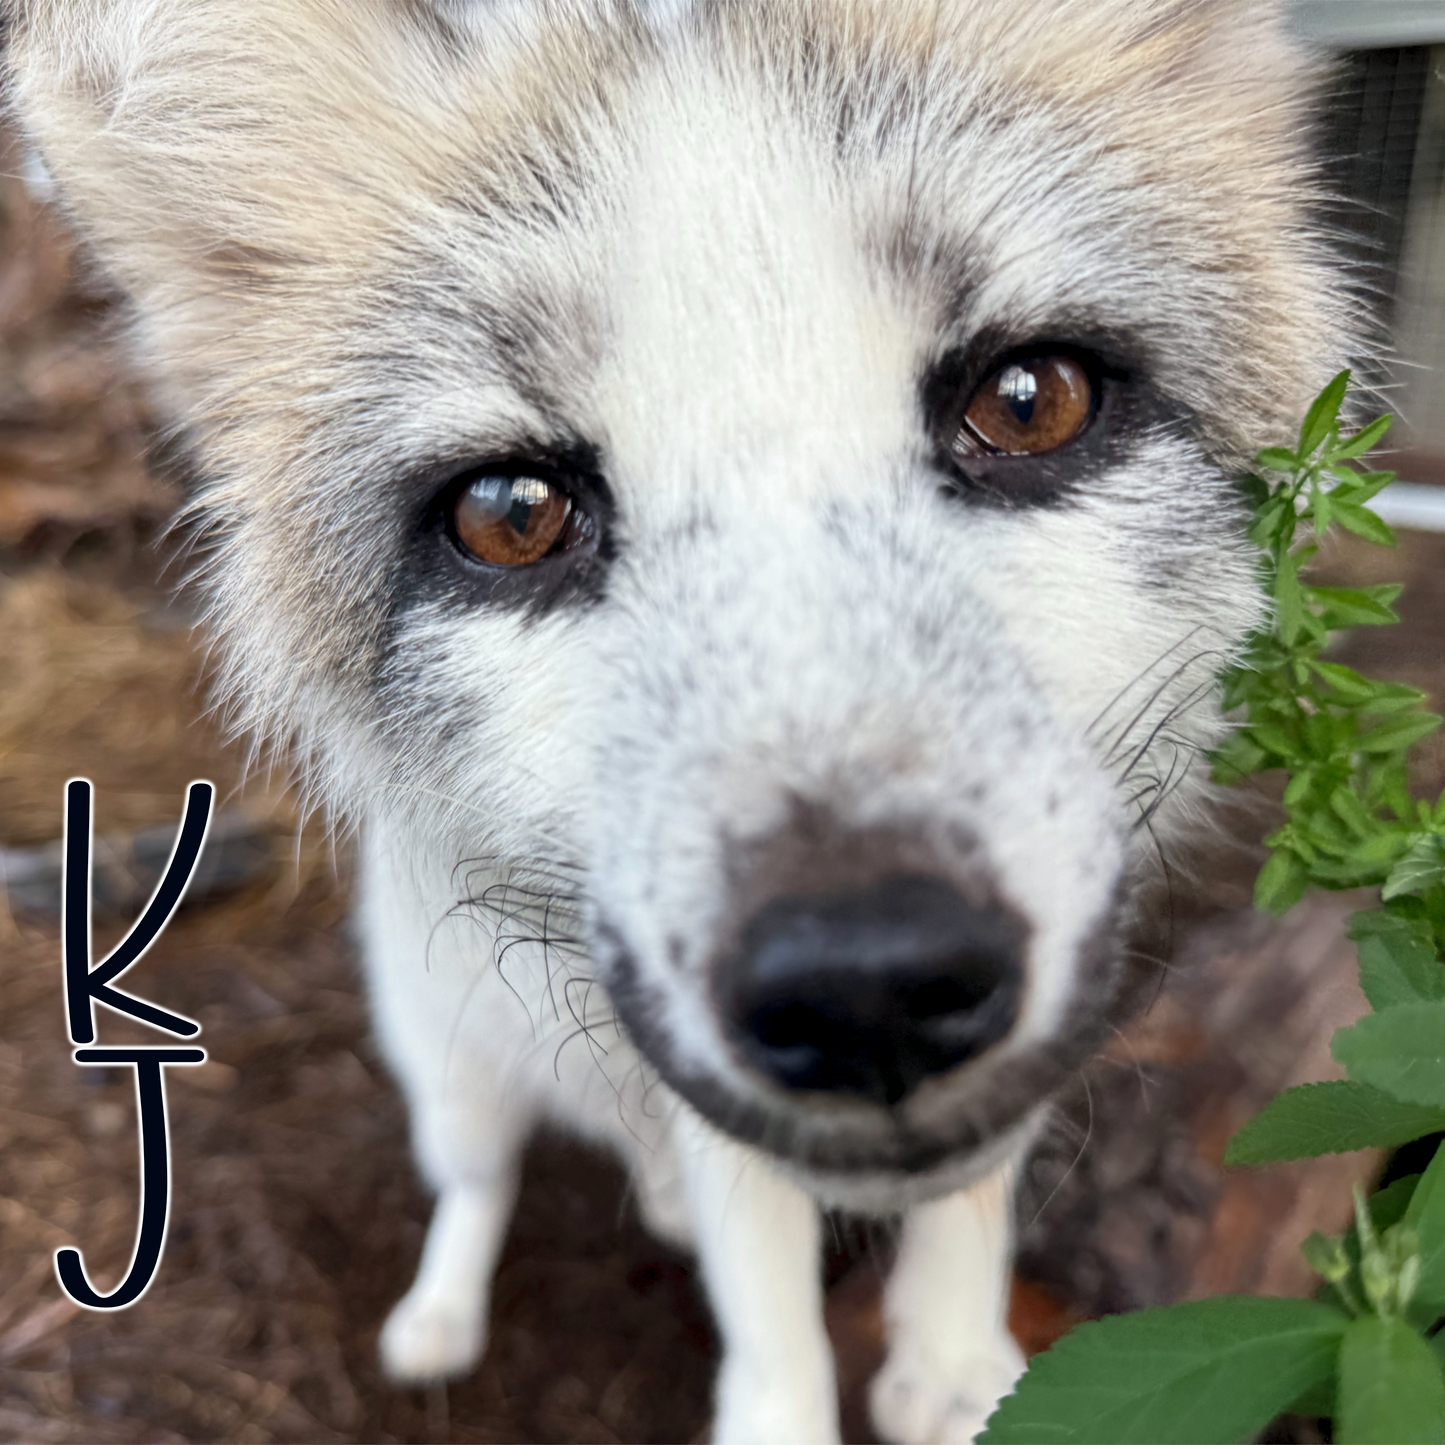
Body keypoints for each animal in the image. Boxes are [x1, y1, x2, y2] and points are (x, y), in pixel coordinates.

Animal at [5, 1, 1350, 1439]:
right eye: (510, 513)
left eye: (1027, 400)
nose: (867, 985)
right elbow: (767, 1321)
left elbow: (965, 1207)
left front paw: (952, 1363)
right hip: (451, 1071)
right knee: (478, 1185)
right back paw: (439, 1318)